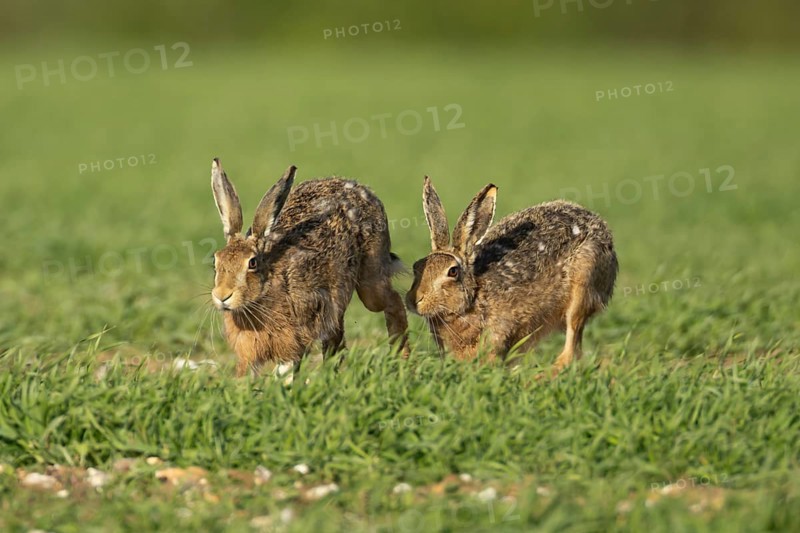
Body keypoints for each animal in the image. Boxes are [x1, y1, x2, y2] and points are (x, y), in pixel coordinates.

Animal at [209, 158, 408, 376]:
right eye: (216, 260)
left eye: (252, 263)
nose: (222, 296)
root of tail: (361, 188)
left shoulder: (294, 339)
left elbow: (287, 368)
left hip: (371, 279)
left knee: (392, 301)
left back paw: (401, 361)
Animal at [406, 176, 617, 371]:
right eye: (417, 266)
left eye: (452, 271)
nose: (414, 300)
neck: (473, 300)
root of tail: (603, 230)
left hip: (584, 281)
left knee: (572, 344)